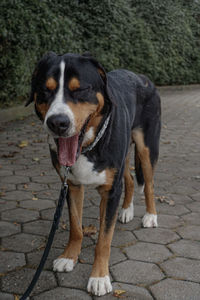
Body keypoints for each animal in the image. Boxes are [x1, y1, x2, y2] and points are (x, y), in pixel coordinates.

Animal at [26, 52, 161, 296]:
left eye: (80, 89)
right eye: (45, 91)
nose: (57, 123)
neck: (87, 147)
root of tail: (142, 77)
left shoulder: (110, 191)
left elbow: (104, 240)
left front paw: (99, 277)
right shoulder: (71, 185)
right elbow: (76, 227)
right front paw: (69, 257)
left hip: (146, 147)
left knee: (149, 183)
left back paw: (150, 216)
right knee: (129, 180)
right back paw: (126, 210)